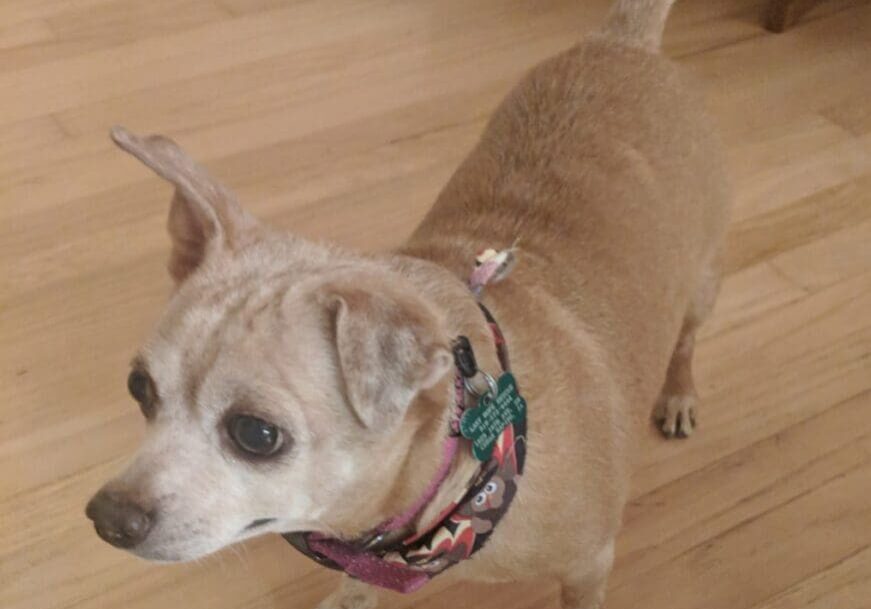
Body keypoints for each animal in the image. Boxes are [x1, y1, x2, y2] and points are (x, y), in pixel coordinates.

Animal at [87, 0, 728, 604]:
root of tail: (624, 41)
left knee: (687, 340)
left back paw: (678, 394)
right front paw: (350, 598)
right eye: (138, 388)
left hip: (702, 283)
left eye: (256, 434)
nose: (106, 518)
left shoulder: (590, 565)